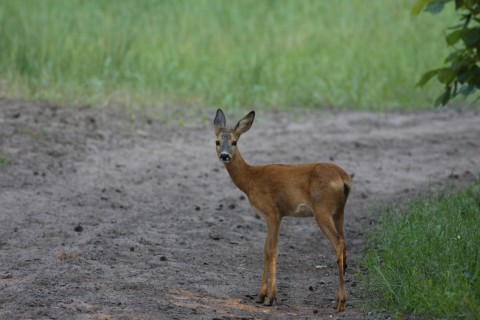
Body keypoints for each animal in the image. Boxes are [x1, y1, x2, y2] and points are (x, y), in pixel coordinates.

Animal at [214, 109, 352, 312]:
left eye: (234, 142)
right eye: (217, 141)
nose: (224, 155)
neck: (251, 180)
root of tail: (344, 179)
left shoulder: (273, 212)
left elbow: (272, 250)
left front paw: (270, 298)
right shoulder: (272, 216)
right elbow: (265, 250)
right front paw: (260, 295)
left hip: (322, 209)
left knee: (338, 243)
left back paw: (341, 303)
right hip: (339, 211)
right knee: (344, 244)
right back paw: (338, 300)